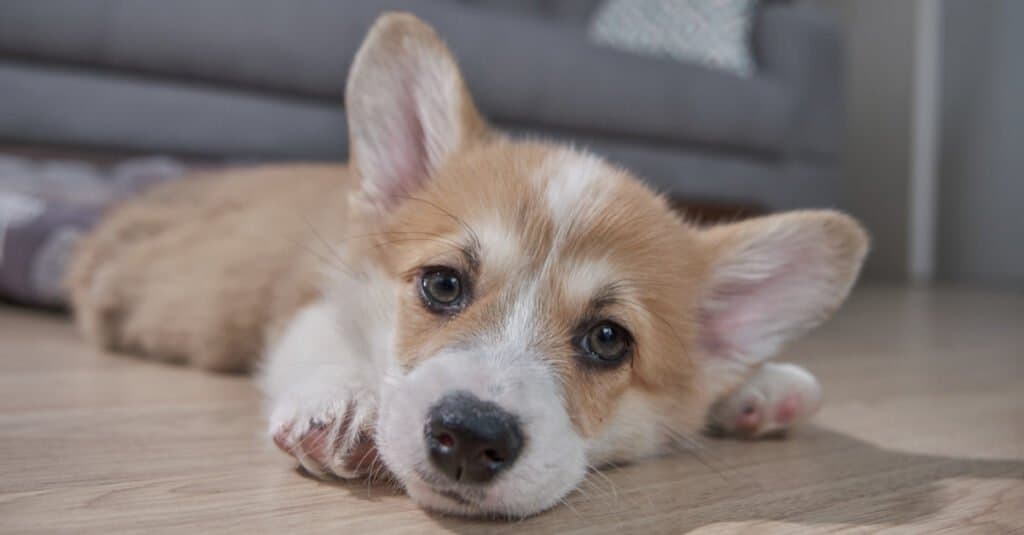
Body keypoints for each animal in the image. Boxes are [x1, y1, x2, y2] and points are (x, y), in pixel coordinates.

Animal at [68, 13, 868, 516]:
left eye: (609, 339)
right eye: (443, 284)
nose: (472, 437)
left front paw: (757, 387)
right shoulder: (311, 305)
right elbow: (325, 347)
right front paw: (348, 403)